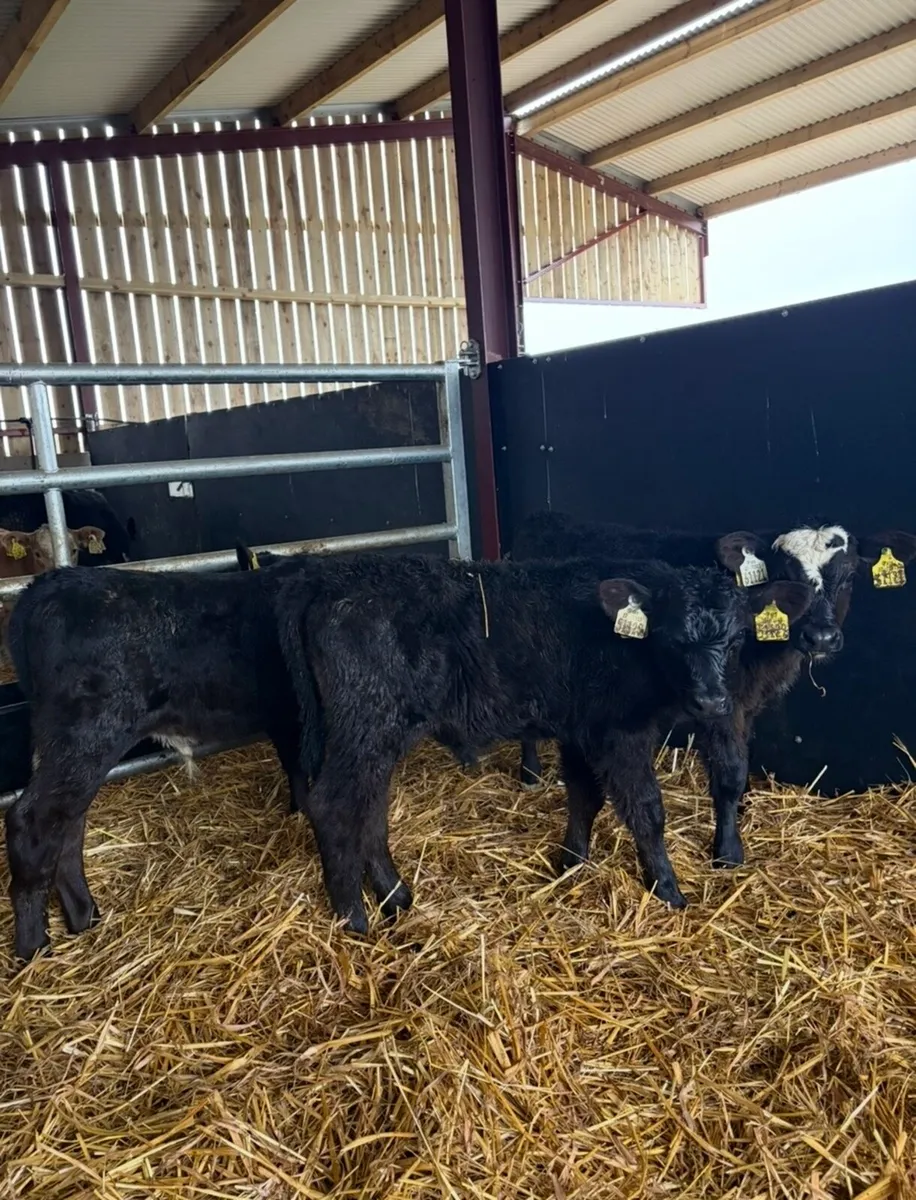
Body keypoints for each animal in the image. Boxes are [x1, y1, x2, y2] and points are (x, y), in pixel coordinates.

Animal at [270, 553, 813, 936]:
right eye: (674, 638)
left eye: (737, 639)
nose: (711, 700)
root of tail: (329, 579)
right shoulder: (621, 732)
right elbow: (646, 809)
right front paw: (667, 888)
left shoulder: (581, 726)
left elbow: (583, 795)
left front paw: (572, 862)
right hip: (365, 723)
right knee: (334, 806)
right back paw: (355, 920)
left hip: (378, 735)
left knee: (369, 810)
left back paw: (395, 898)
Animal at [509, 512, 916, 869]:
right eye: (787, 574)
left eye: (850, 576)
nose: (821, 637)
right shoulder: (722, 705)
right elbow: (729, 774)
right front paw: (728, 852)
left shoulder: (746, 703)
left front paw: (742, 809)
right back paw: (530, 773)